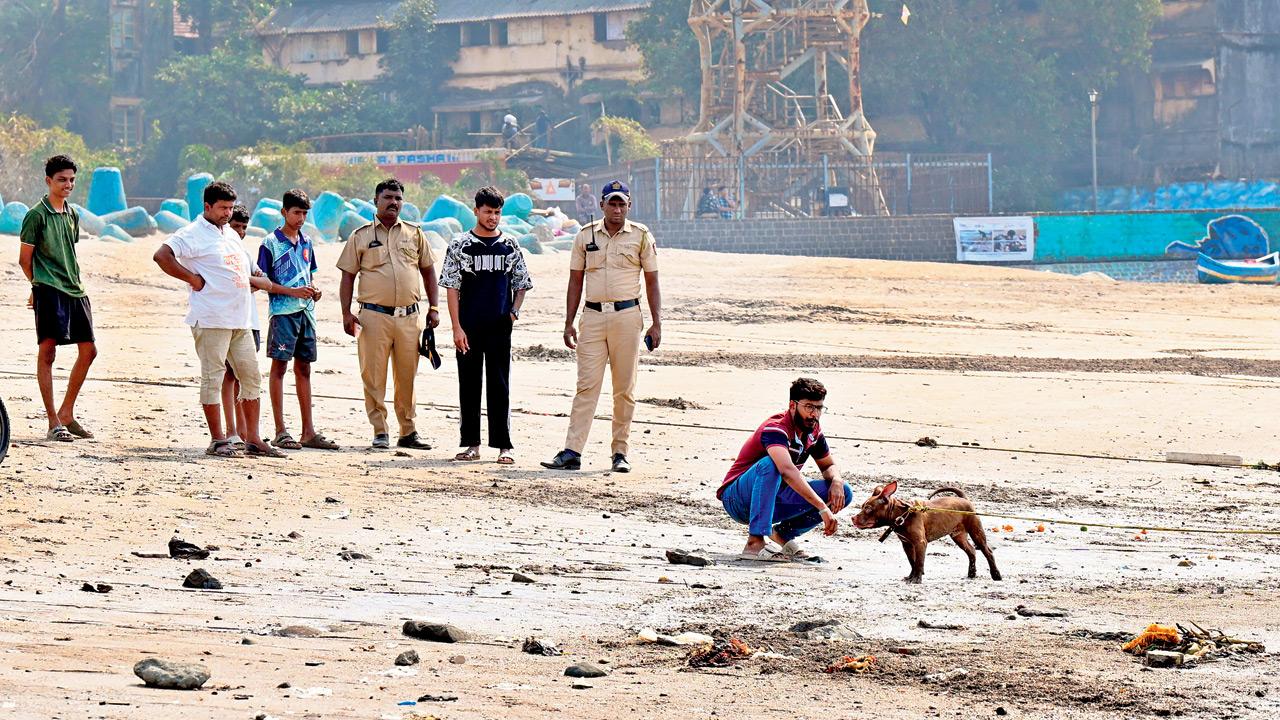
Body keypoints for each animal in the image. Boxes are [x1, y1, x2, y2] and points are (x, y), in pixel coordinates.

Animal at [855, 476, 1003, 584]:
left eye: (868, 508)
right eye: (862, 506)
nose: (852, 518)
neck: (902, 514)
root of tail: (964, 498)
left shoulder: (920, 543)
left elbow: (919, 562)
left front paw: (916, 579)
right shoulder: (907, 544)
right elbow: (913, 562)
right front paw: (911, 577)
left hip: (976, 532)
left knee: (988, 552)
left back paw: (996, 575)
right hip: (958, 536)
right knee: (971, 551)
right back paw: (971, 573)